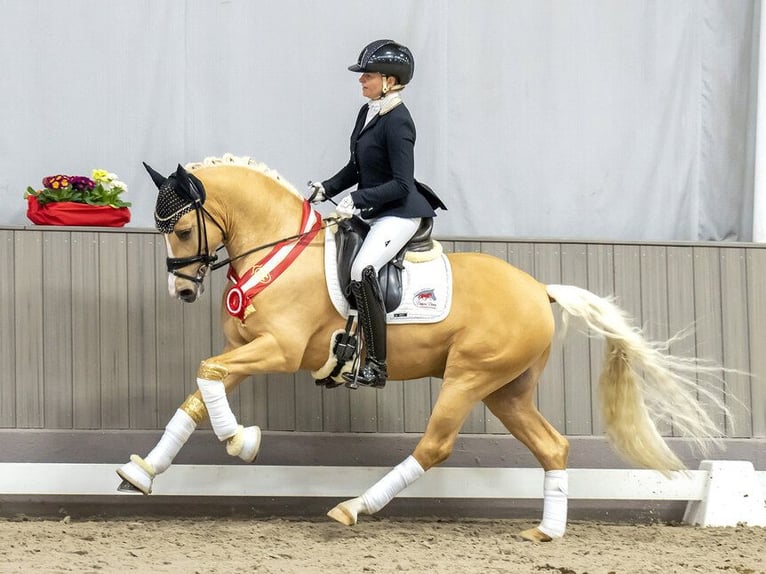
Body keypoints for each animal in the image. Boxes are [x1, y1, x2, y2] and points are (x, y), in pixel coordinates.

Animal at [117, 153, 729, 542]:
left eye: (181, 231)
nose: (183, 290)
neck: (279, 250)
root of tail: (540, 289)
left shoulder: (281, 350)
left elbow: (207, 375)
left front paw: (240, 441)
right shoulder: (248, 350)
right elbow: (202, 388)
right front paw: (142, 473)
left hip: (469, 378)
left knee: (435, 446)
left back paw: (353, 507)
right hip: (507, 390)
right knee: (553, 446)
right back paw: (546, 533)